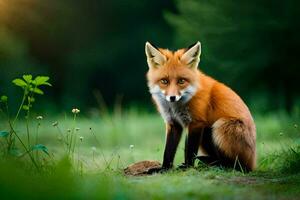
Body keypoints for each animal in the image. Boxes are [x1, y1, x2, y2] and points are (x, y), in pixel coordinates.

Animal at [145, 41, 255, 172]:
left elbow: (190, 150)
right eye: (164, 81)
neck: (176, 107)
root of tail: (254, 162)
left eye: (181, 81)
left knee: (239, 166)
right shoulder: (173, 123)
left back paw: (219, 165)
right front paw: (164, 169)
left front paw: (187, 167)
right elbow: (168, 151)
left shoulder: (196, 123)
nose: (172, 97)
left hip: (220, 125)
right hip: (207, 132)